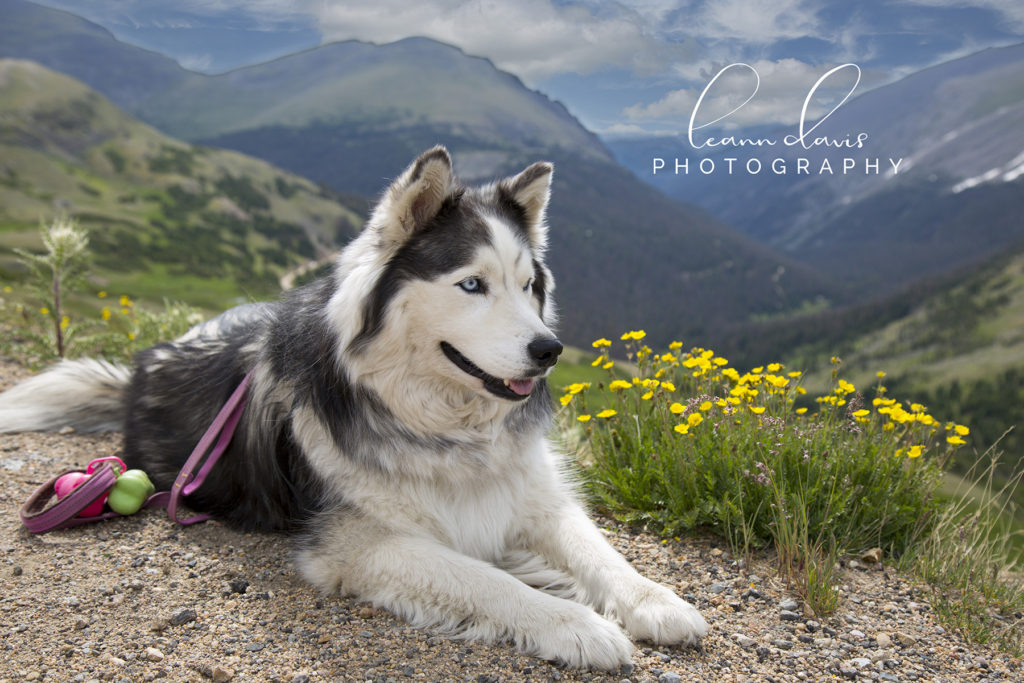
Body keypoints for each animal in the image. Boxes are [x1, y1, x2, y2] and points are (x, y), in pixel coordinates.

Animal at [0, 148, 704, 667]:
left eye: (530, 285)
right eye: (472, 284)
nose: (549, 350)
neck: (444, 426)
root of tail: (139, 368)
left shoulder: (533, 497)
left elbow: (598, 551)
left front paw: (655, 600)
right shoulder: (362, 544)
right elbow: (490, 581)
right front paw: (576, 625)